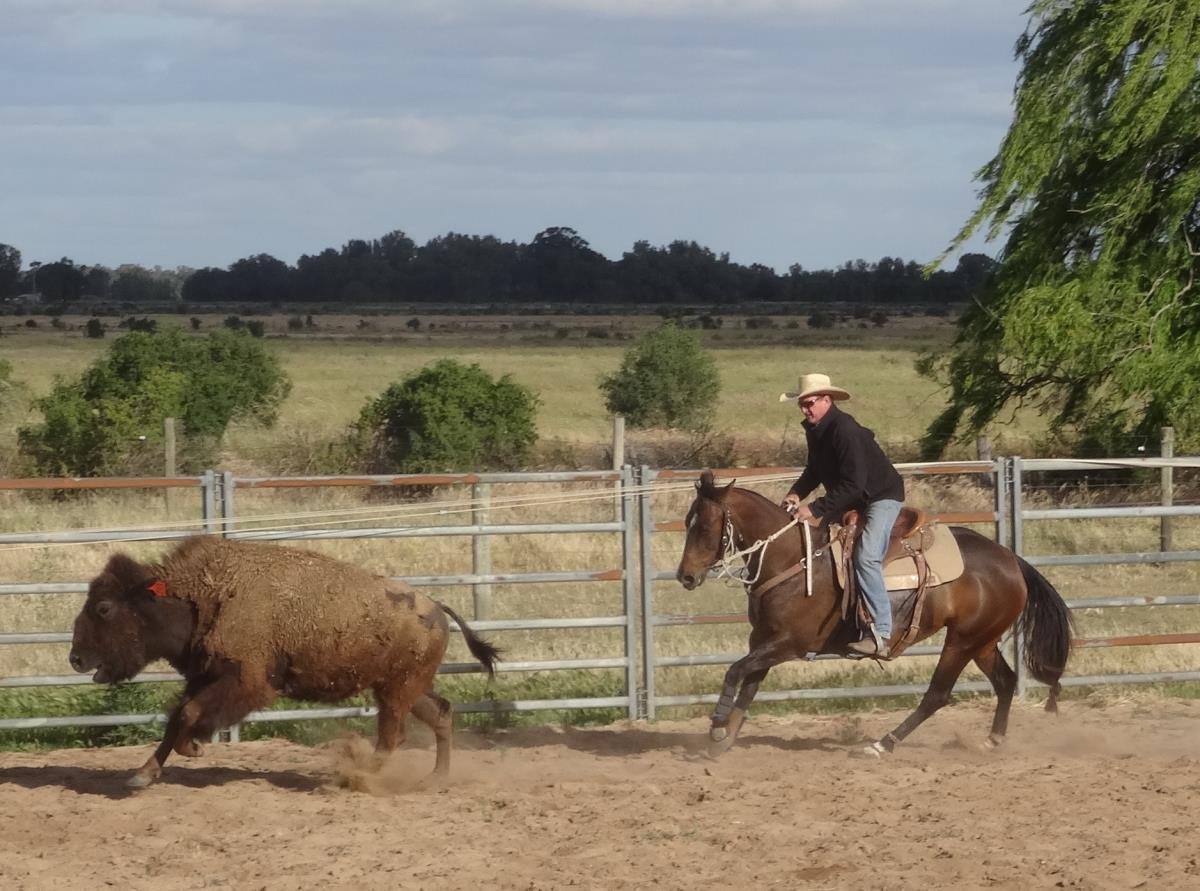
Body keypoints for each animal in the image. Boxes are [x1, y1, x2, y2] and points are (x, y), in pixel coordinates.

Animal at [675, 470, 1073, 756]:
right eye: (687, 521)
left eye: (705, 525)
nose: (685, 576)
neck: (792, 559)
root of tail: (1012, 560)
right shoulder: (764, 640)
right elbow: (749, 685)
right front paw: (725, 738)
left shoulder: (788, 643)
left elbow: (735, 671)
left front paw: (717, 726)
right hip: (983, 641)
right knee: (1004, 682)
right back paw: (992, 740)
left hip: (962, 642)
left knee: (937, 695)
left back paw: (883, 743)